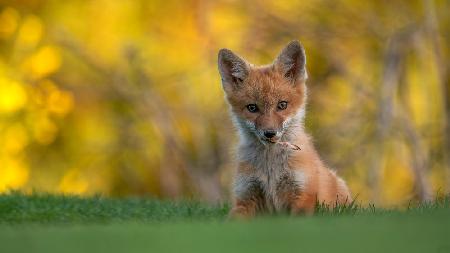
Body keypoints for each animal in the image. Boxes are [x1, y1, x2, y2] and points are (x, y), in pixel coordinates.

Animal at [218, 40, 352, 217]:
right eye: (252, 108)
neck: (271, 168)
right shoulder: (246, 196)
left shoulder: (303, 195)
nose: (269, 133)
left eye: (282, 105)